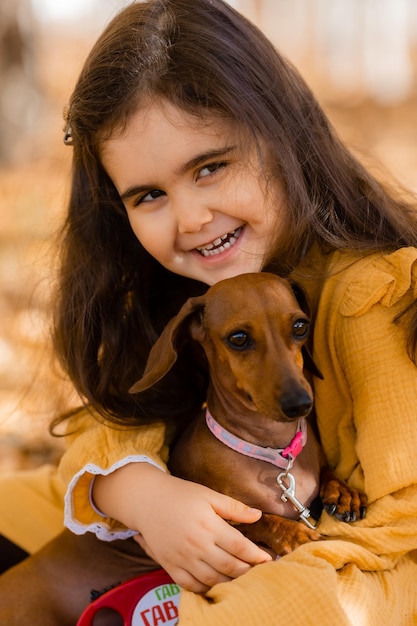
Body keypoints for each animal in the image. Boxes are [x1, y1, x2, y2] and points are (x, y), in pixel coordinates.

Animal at [131, 270, 368, 552]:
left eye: (300, 326)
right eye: (239, 338)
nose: (299, 404)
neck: (275, 452)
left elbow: (328, 471)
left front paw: (344, 492)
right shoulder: (228, 517)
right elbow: (261, 519)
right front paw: (295, 534)